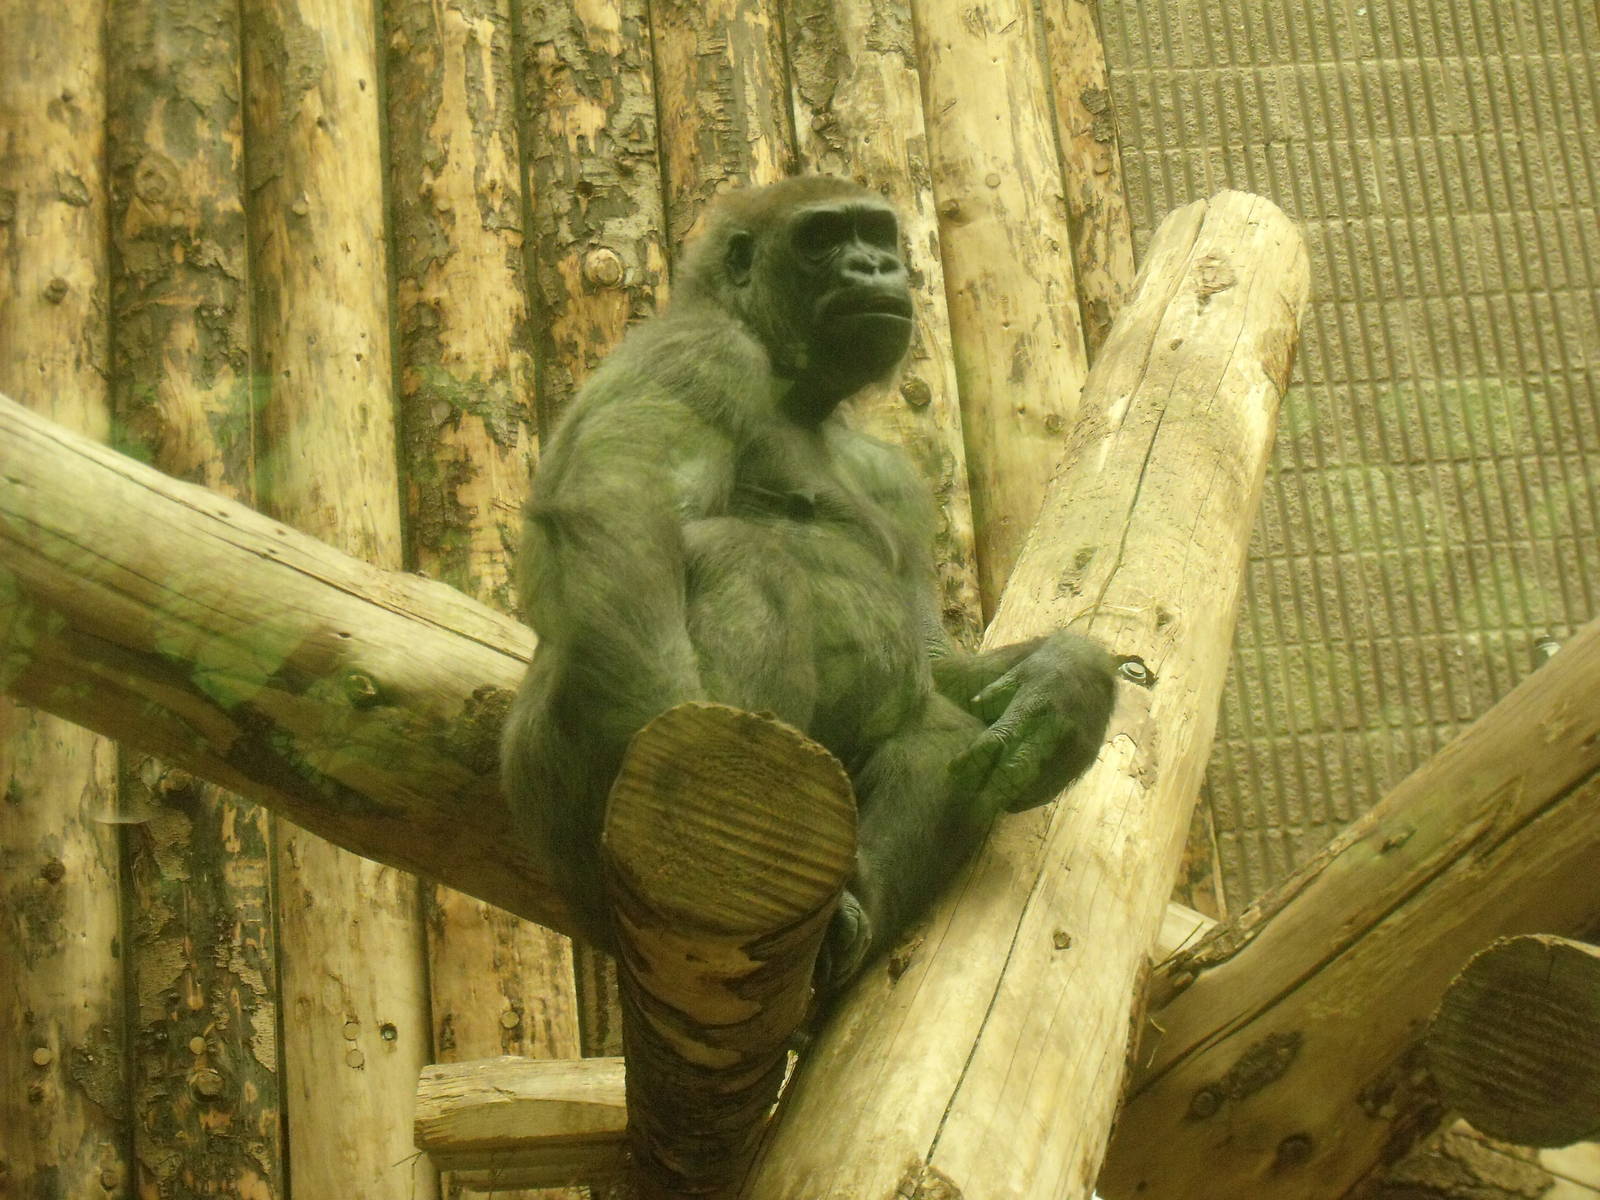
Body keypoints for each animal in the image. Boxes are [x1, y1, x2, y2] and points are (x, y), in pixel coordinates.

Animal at [501, 176, 1116, 990]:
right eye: (821, 239)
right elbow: (618, 505)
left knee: (937, 724)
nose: (874, 266)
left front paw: (1070, 682)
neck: (801, 390)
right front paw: (692, 790)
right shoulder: (700, 352)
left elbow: (937, 665)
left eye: (876, 234)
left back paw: (858, 913)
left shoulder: (893, 479)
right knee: (734, 560)